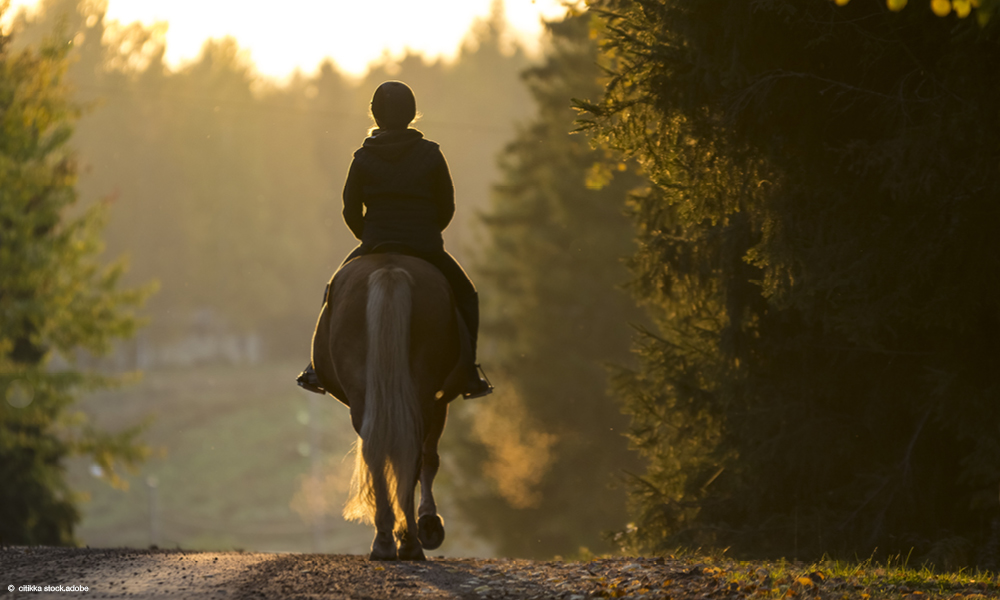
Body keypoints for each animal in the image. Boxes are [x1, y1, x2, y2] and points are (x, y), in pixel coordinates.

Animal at [310, 251, 470, 560]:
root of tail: (389, 270)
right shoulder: (440, 401)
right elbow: (430, 460)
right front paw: (428, 523)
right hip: (424, 394)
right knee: (412, 454)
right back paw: (409, 541)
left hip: (365, 392)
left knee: (377, 452)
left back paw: (385, 540)